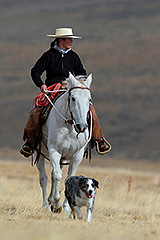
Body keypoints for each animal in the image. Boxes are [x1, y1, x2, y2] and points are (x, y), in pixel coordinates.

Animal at [35, 72, 92, 212]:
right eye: (73, 98)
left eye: (89, 99)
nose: (82, 126)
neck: (70, 126)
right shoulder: (54, 150)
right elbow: (57, 176)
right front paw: (57, 204)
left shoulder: (77, 154)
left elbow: (69, 178)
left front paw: (66, 207)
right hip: (39, 154)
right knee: (44, 178)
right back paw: (46, 205)